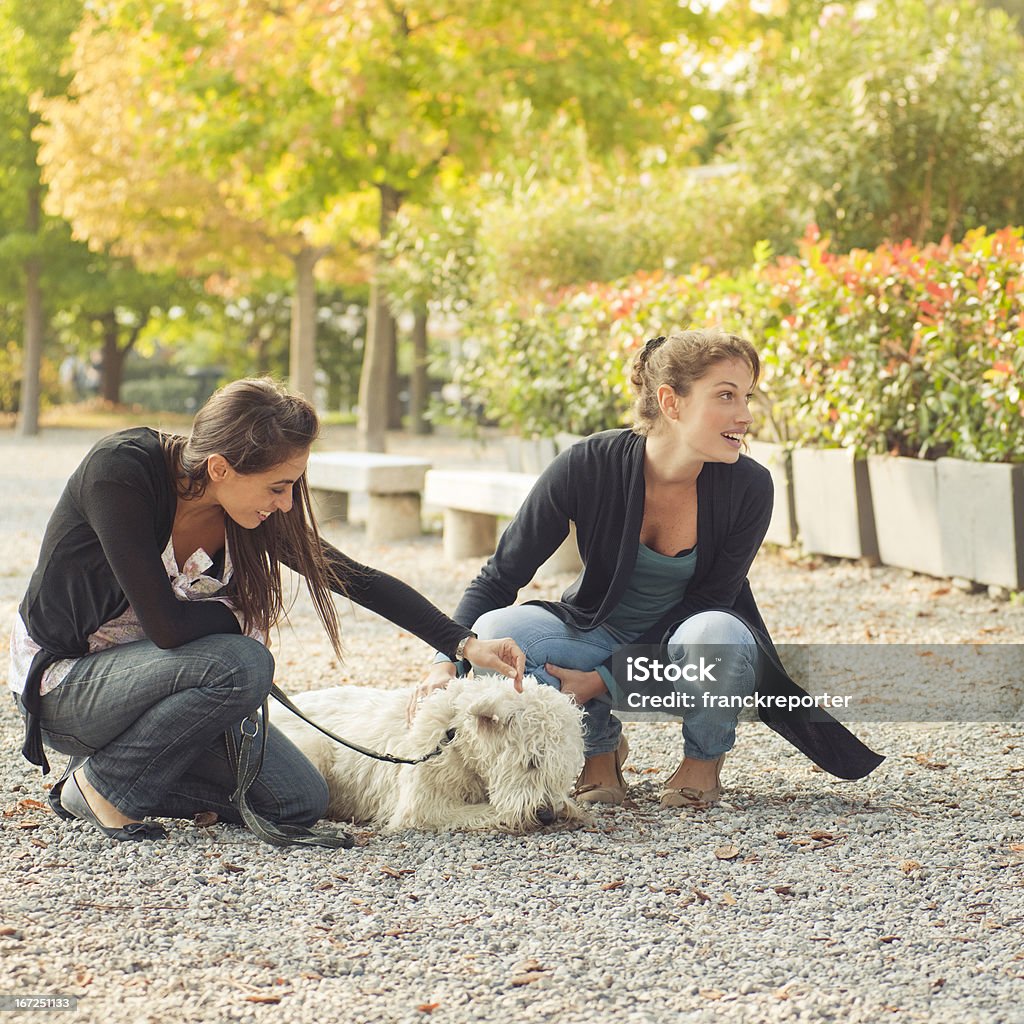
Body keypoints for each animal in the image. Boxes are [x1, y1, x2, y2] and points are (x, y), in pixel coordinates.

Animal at [274, 671, 593, 831]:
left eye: (561, 770)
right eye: (531, 761)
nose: (547, 814)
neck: (454, 739)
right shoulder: (424, 806)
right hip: (313, 747)